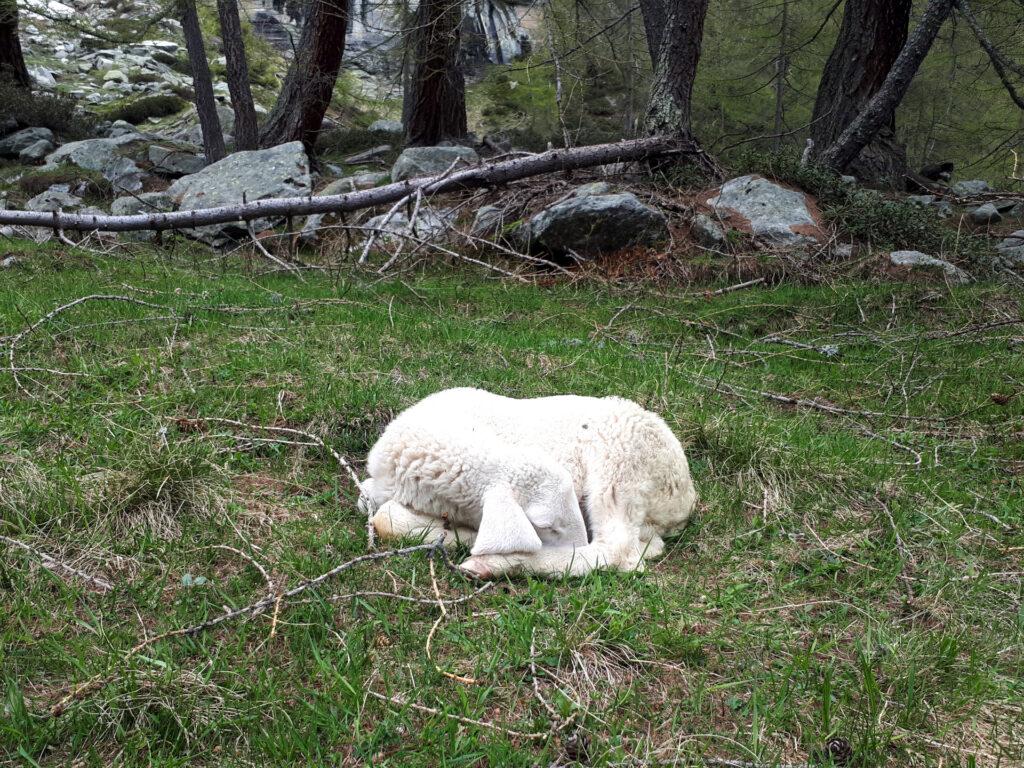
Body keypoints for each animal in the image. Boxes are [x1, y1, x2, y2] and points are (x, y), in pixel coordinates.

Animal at [356, 391, 700, 577]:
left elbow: (385, 519)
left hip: (620, 465)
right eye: (546, 523)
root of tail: (684, 498)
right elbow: (372, 507)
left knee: (616, 550)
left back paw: (495, 564)